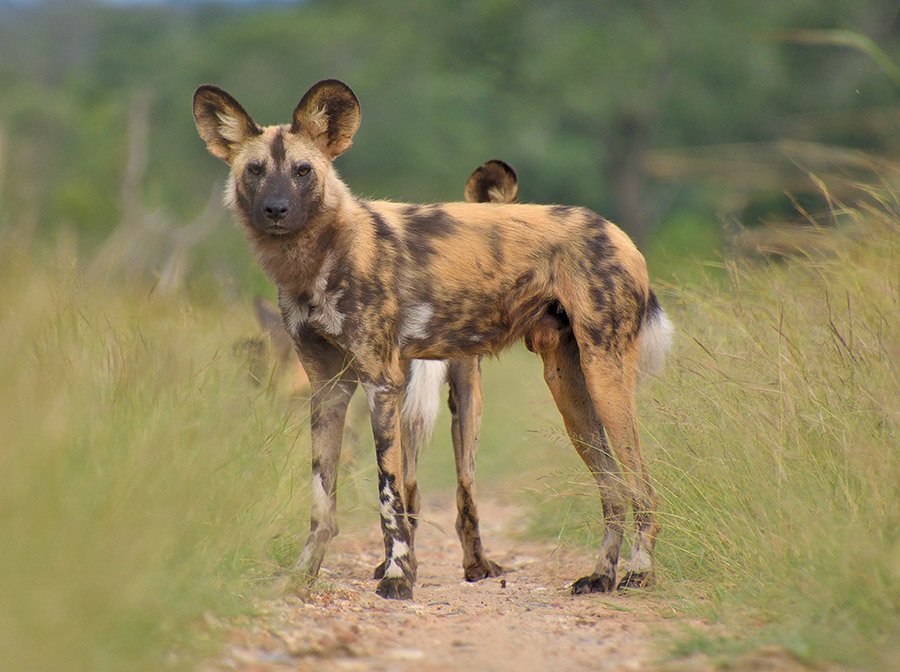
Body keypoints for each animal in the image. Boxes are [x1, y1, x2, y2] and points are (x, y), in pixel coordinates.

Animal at [193, 79, 672, 600]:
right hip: (569, 389)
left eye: (303, 171)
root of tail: (616, 231)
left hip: (604, 379)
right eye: (255, 171)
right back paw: (601, 575)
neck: (318, 259)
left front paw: (398, 577)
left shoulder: (381, 383)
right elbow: (322, 499)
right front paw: (304, 574)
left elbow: (390, 493)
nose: (276, 210)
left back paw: (639, 572)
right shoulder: (328, 389)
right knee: (613, 489)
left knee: (641, 487)